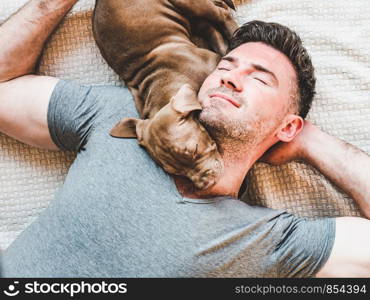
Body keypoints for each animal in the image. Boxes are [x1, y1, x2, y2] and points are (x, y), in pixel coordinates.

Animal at [92, 0, 237, 190]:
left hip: (190, 4)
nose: (206, 184)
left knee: (221, 13)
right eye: (175, 172)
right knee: (210, 23)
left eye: (195, 150)